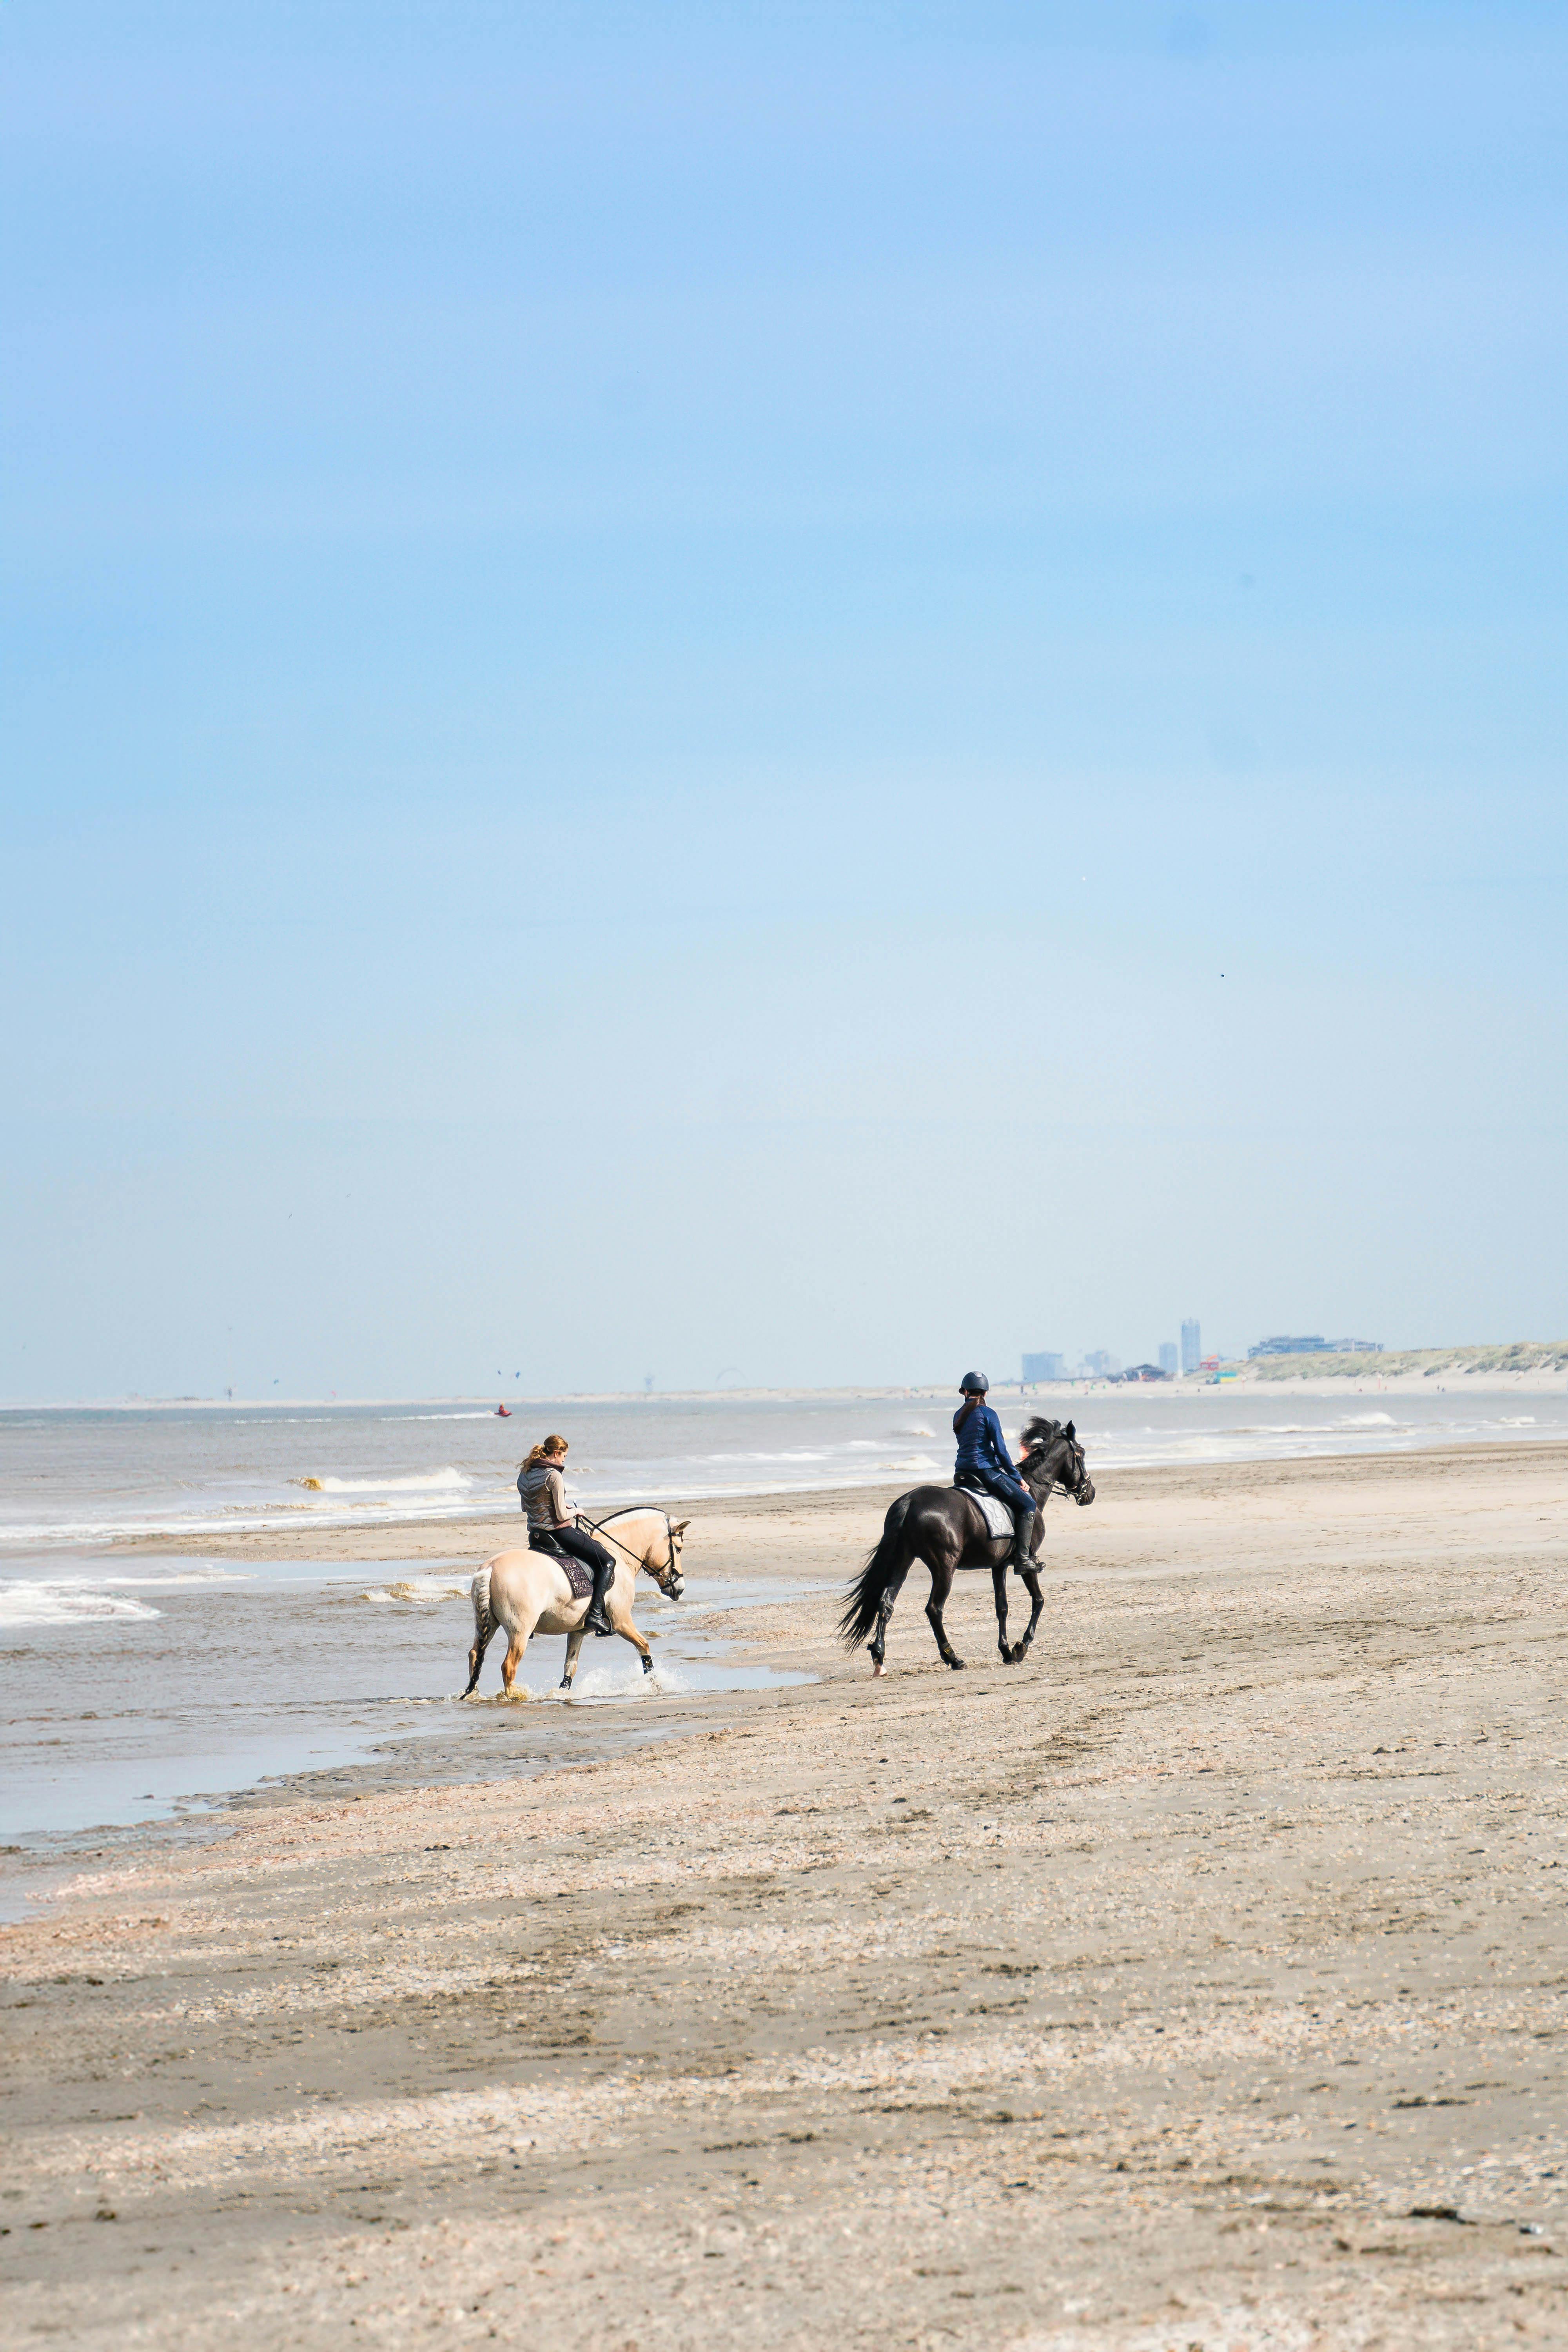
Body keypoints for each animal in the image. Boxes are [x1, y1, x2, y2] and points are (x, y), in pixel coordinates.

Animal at [464, 1508, 689, 1698]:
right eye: (678, 1549)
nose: (679, 1588)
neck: (618, 1553)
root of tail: (491, 1567)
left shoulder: (577, 1631)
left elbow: (570, 1668)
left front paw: (562, 1695)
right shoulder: (622, 1622)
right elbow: (644, 1647)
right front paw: (656, 1686)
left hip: (488, 1625)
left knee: (475, 1655)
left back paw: (472, 1694)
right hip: (520, 1631)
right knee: (509, 1666)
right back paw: (515, 1698)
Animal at [839, 1417, 1094, 1676]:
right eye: (1081, 1453)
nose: (1090, 1493)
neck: (1032, 1489)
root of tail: (910, 1501)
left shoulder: (999, 1566)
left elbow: (1002, 1607)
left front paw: (1006, 1651)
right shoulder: (1027, 1563)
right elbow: (1038, 1600)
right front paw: (1021, 1647)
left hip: (903, 1560)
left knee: (886, 1602)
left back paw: (880, 1657)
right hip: (944, 1568)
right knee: (934, 1609)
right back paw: (953, 1658)